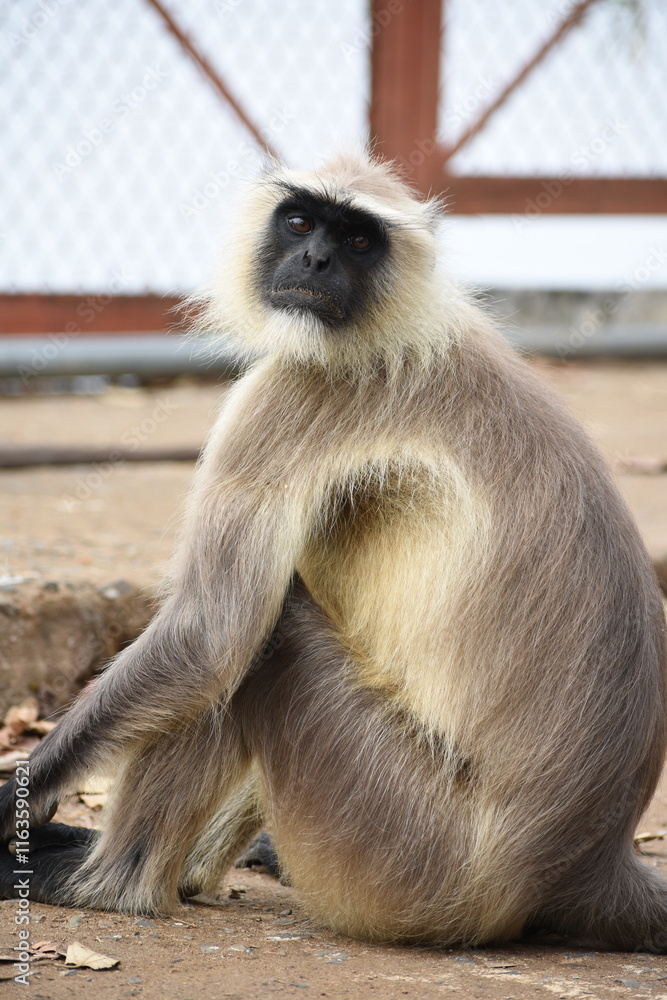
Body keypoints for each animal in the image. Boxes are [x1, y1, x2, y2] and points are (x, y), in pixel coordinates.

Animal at [1, 152, 666, 950]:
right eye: (300, 223)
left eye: (355, 240)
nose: (315, 259)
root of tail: (589, 864)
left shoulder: (291, 394)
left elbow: (209, 635)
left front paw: (20, 797)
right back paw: (189, 875)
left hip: (404, 844)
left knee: (260, 636)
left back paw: (107, 886)